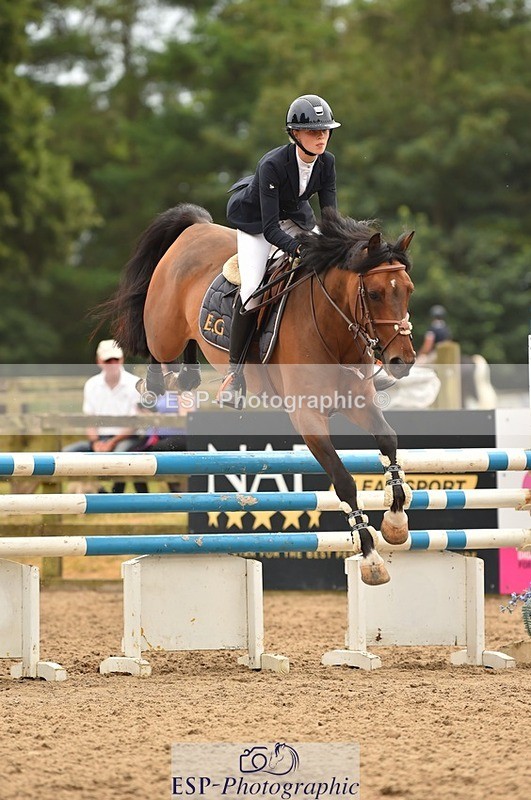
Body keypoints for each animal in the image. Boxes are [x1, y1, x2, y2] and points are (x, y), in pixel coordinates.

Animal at [100, 203, 416, 586]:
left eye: (409, 290)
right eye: (374, 294)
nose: (403, 361)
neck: (334, 328)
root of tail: (195, 228)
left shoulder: (360, 402)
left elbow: (387, 439)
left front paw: (396, 522)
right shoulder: (308, 417)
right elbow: (343, 481)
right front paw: (370, 557)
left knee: (188, 356)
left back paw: (189, 380)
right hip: (165, 331)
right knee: (157, 350)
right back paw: (154, 387)